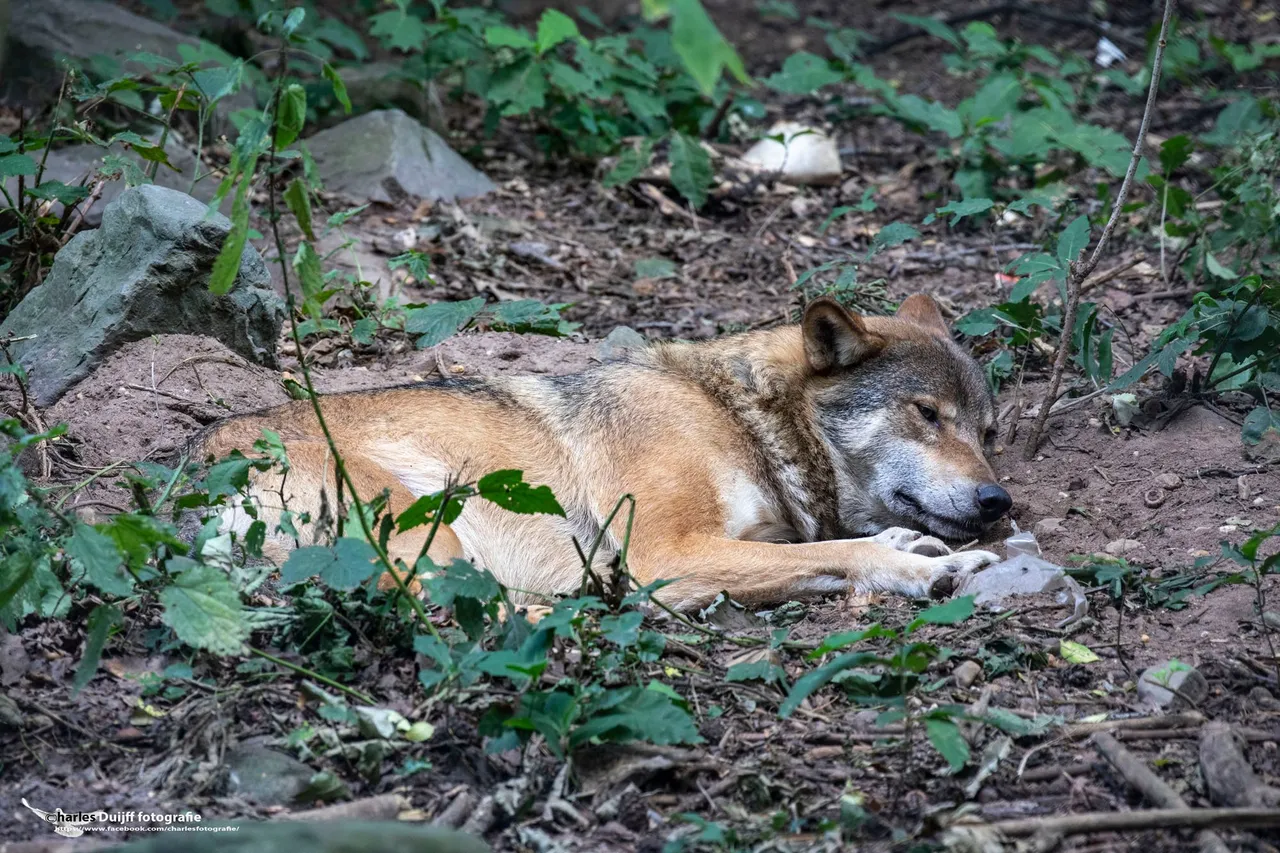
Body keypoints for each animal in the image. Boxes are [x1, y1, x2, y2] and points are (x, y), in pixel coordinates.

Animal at [198, 295, 1011, 611]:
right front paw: (928, 568)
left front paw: (909, 543)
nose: (998, 500)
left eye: (987, 431)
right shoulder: (666, 552)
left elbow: (827, 551)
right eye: (927, 414)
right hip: (425, 523)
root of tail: (192, 483)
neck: (737, 416)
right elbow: (846, 552)